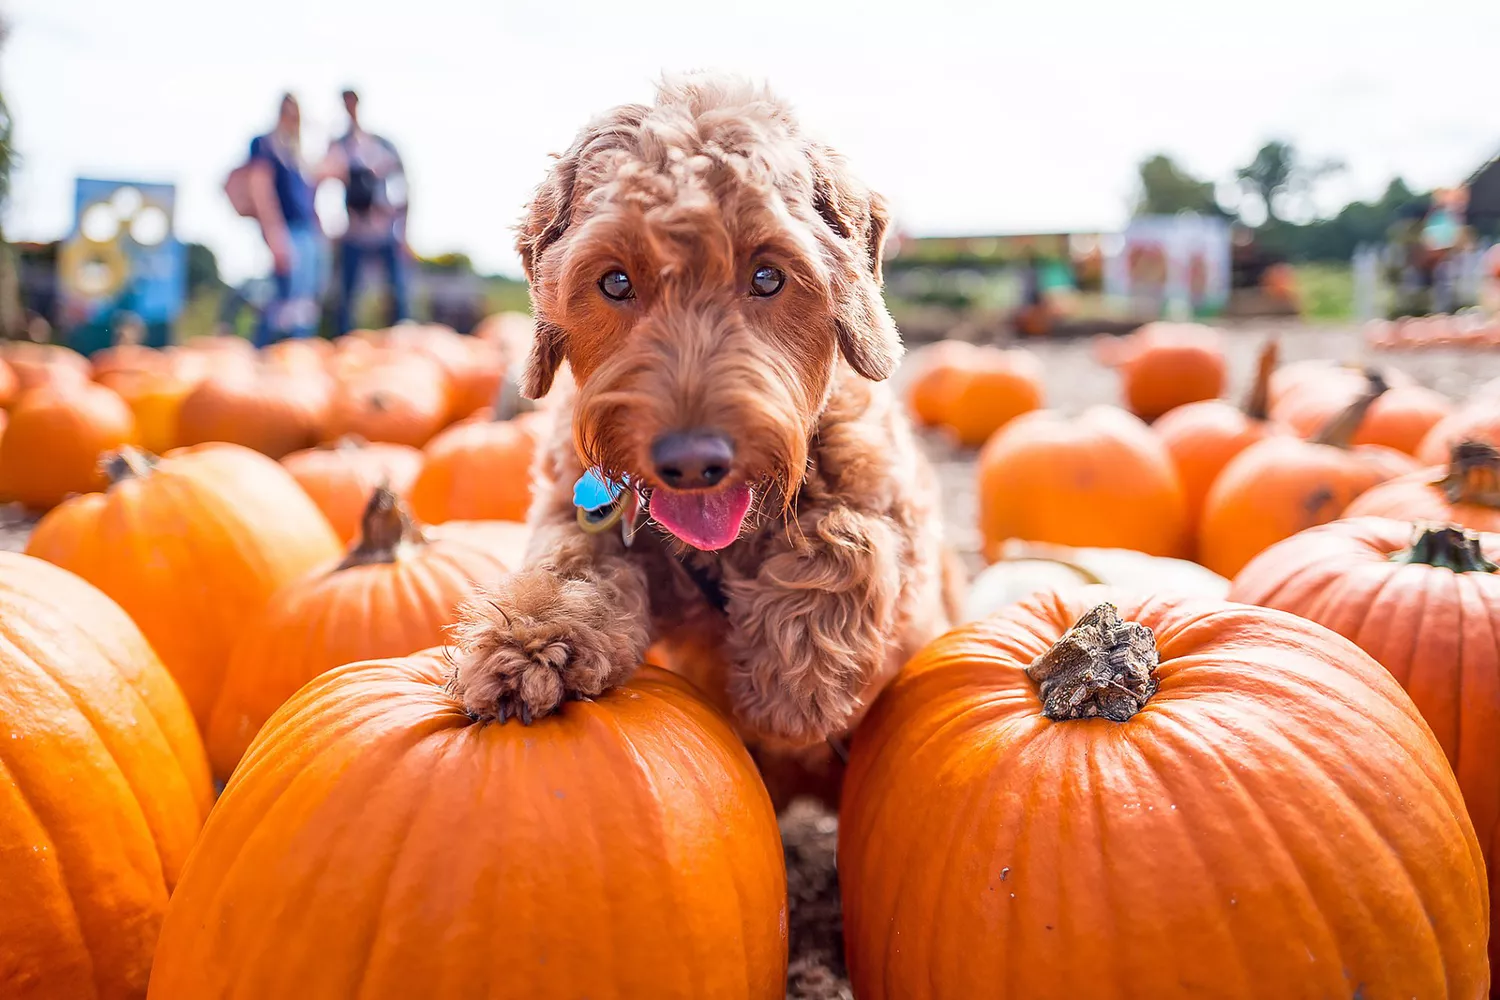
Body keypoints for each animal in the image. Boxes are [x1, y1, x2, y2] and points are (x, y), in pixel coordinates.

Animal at [450, 74, 954, 758]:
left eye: (767, 276)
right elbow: (570, 557)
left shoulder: (897, 519)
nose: (691, 462)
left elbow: (850, 534)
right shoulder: (573, 506)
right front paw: (527, 643)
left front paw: (796, 682)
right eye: (615, 282)